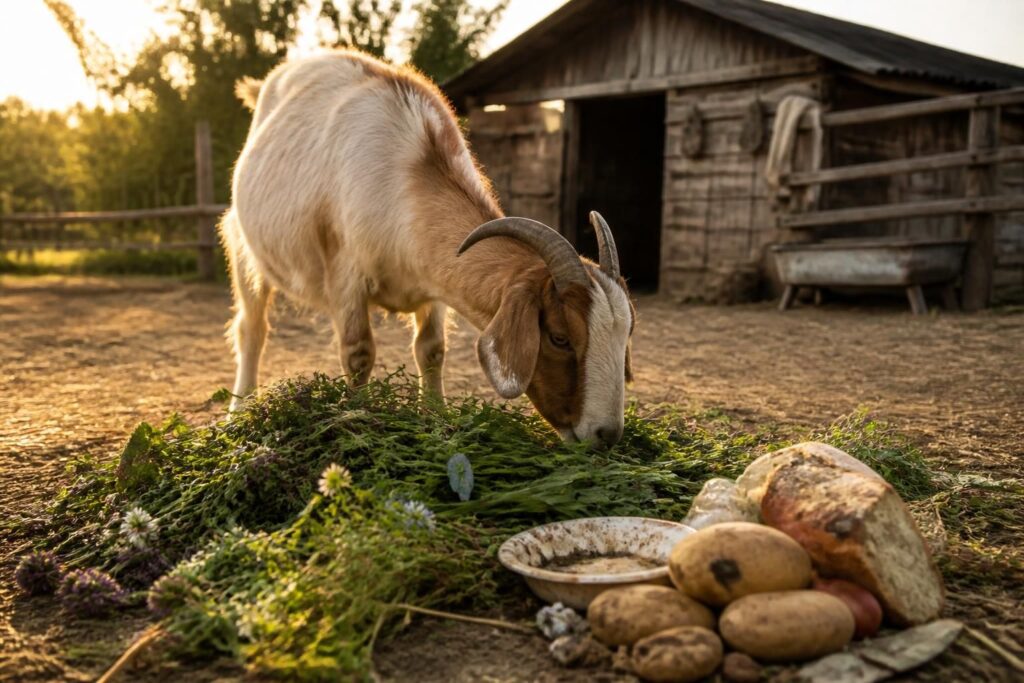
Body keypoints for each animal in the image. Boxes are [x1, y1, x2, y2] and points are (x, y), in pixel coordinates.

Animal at [223, 50, 634, 447]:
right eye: (559, 338)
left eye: (626, 333)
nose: (606, 435)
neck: (402, 180)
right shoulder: (344, 274)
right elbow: (358, 353)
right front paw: (355, 419)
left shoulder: (434, 284)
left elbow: (432, 349)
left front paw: (437, 420)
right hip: (243, 247)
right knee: (252, 328)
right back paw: (238, 410)